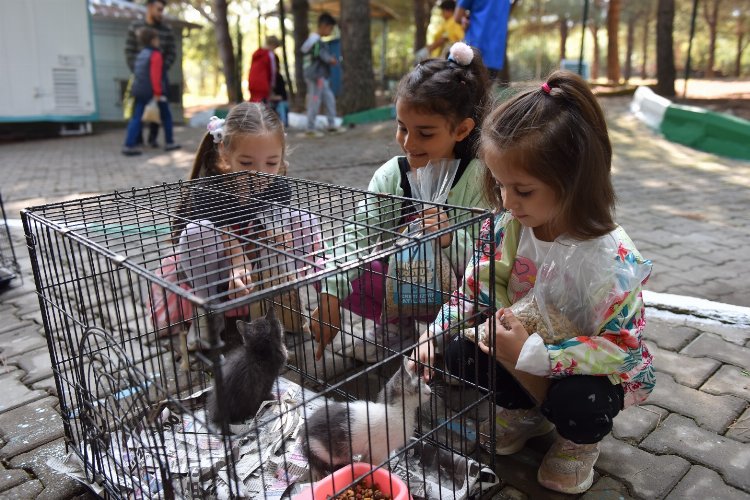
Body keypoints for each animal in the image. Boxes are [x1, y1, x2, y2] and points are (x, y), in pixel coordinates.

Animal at [304, 358, 434, 478]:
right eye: (419, 385)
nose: (430, 391)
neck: (397, 410)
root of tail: (303, 433)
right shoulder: (379, 450)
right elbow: (375, 464)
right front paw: (385, 473)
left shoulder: (371, 450)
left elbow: (364, 461)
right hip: (326, 451)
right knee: (316, 461)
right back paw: (318, 473)